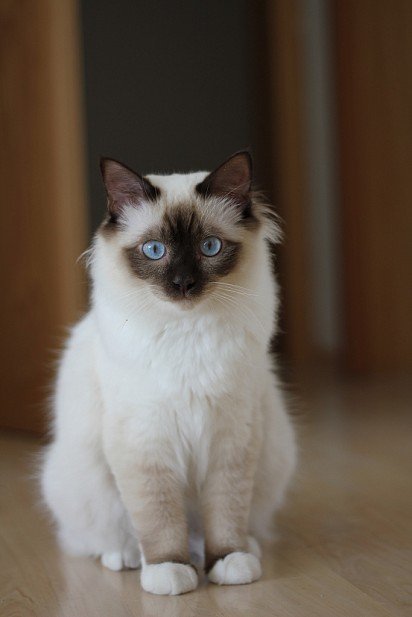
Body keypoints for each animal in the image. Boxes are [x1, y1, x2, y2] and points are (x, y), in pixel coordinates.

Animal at [40, 148, 294, 592]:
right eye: (155, 250)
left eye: (210, 247)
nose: (183, 284)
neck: (187, 335)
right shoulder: (145, 442)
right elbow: (159, 519)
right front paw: (169, 573)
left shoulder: (231, 437)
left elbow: (226, 513)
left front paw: (228, 562)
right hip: (84, 480)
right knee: (100, 537)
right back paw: (127, 558)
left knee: (206, 529)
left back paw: (241, 550)